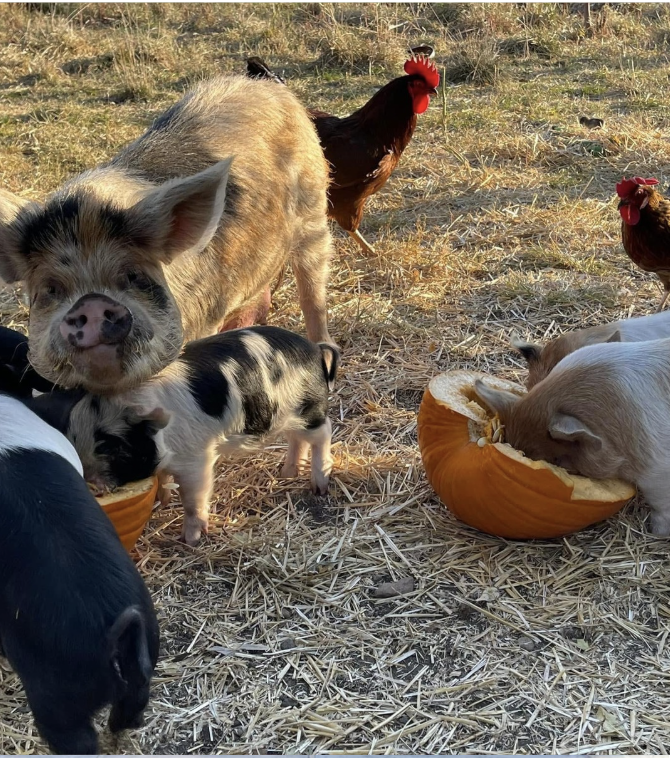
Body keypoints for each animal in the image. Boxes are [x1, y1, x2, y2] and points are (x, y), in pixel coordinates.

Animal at [0, 75, 334, 395]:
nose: (91, 302)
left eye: (133, 275)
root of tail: (268, 87)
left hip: (314, 210)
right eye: (51, 289)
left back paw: (326, 358)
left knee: (313, 286)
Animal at [120, 326, 339, 546]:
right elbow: (164, 478)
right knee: (297, 439)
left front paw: (189, 540)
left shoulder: (195, 458)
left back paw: (319, 487)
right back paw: (286, 474)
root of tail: (315, 350)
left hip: (309, 408)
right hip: (287, 416)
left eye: (117, 447)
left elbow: (192, 497)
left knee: (323, 432)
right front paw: (162, 501)